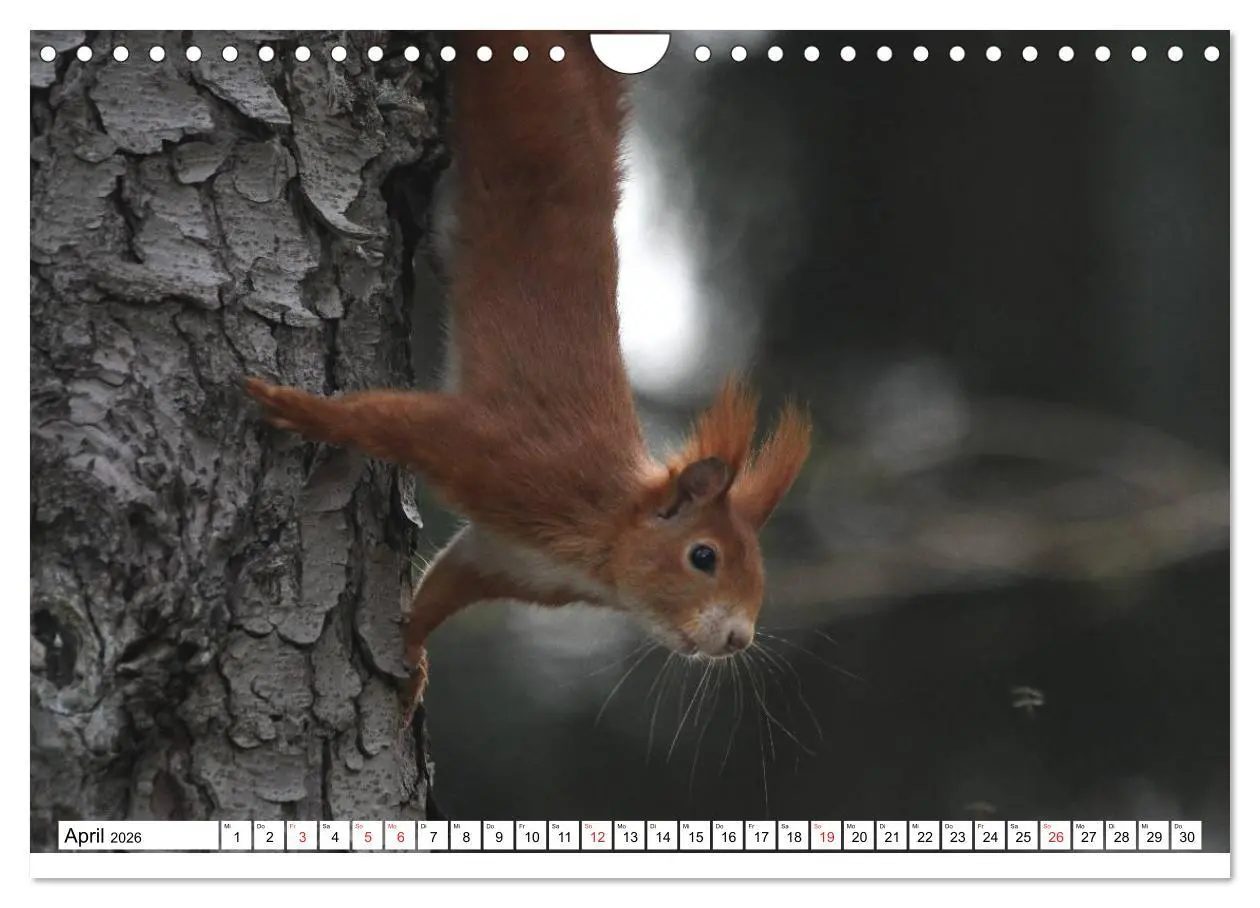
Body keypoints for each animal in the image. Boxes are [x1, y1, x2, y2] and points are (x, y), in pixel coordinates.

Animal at [244, 31, 812, 721]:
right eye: (703, 556)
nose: (737, 639)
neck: (600, 531)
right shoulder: (509, 458)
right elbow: (393, 422)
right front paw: (296, 408)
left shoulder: (500, 559)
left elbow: (441, 590)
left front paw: (413, 662)